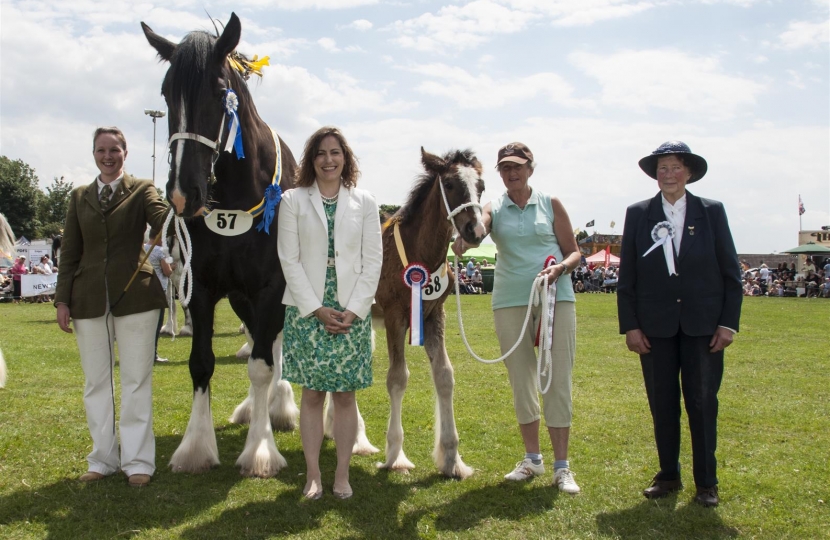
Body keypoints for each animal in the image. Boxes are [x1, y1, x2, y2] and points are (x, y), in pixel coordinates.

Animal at [143, 13, 300, 476]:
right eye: (166, 93)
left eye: (217, 91)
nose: (183, 193)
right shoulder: (204, 287)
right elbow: (202, 363)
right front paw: (196, 446)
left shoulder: (272, 289)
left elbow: (262, 366)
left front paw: (261, 450)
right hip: (240, 297)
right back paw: (258, 408)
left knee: (273, 352)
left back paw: (278, 408)